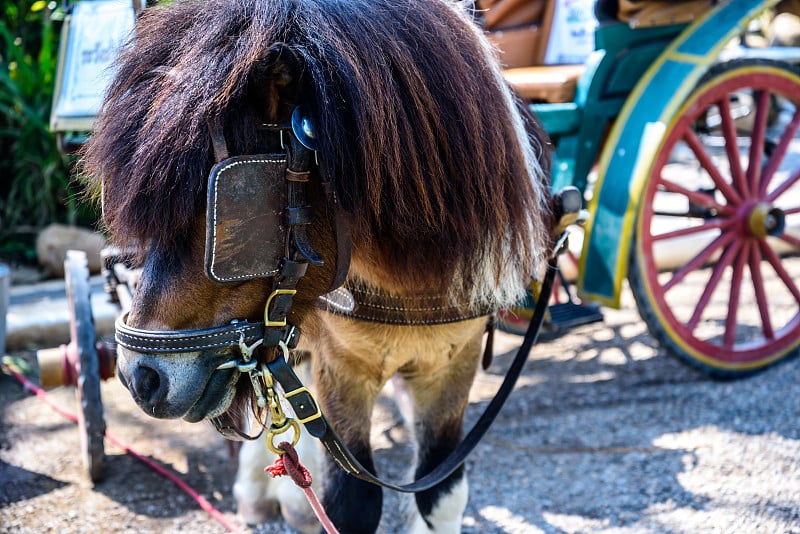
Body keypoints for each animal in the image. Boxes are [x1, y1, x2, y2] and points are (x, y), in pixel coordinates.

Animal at [84, 0, 552, 532]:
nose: (139, 377)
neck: (408, 283)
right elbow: (352, 500)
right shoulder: (342, 368)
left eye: (228, 204)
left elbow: (441, 493)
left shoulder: (454, 364)